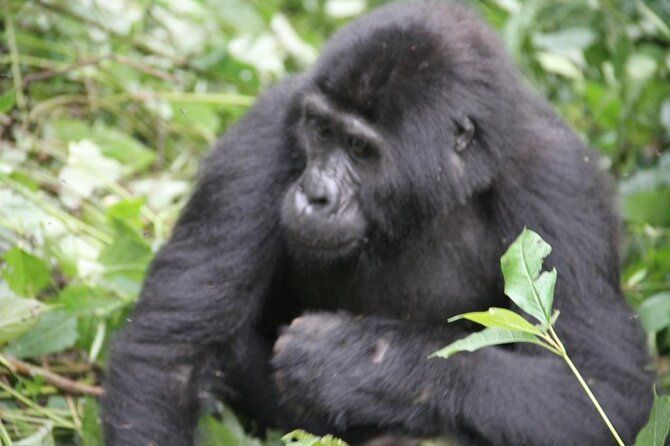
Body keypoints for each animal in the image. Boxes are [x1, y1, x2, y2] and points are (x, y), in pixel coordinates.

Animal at [102, 1, 652, 444]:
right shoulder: (267, 129)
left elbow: (602, 390)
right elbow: (170, 355)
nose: (314, 195)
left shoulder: (560, 181)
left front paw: (359, 363)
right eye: (320, 130)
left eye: (361, 151)